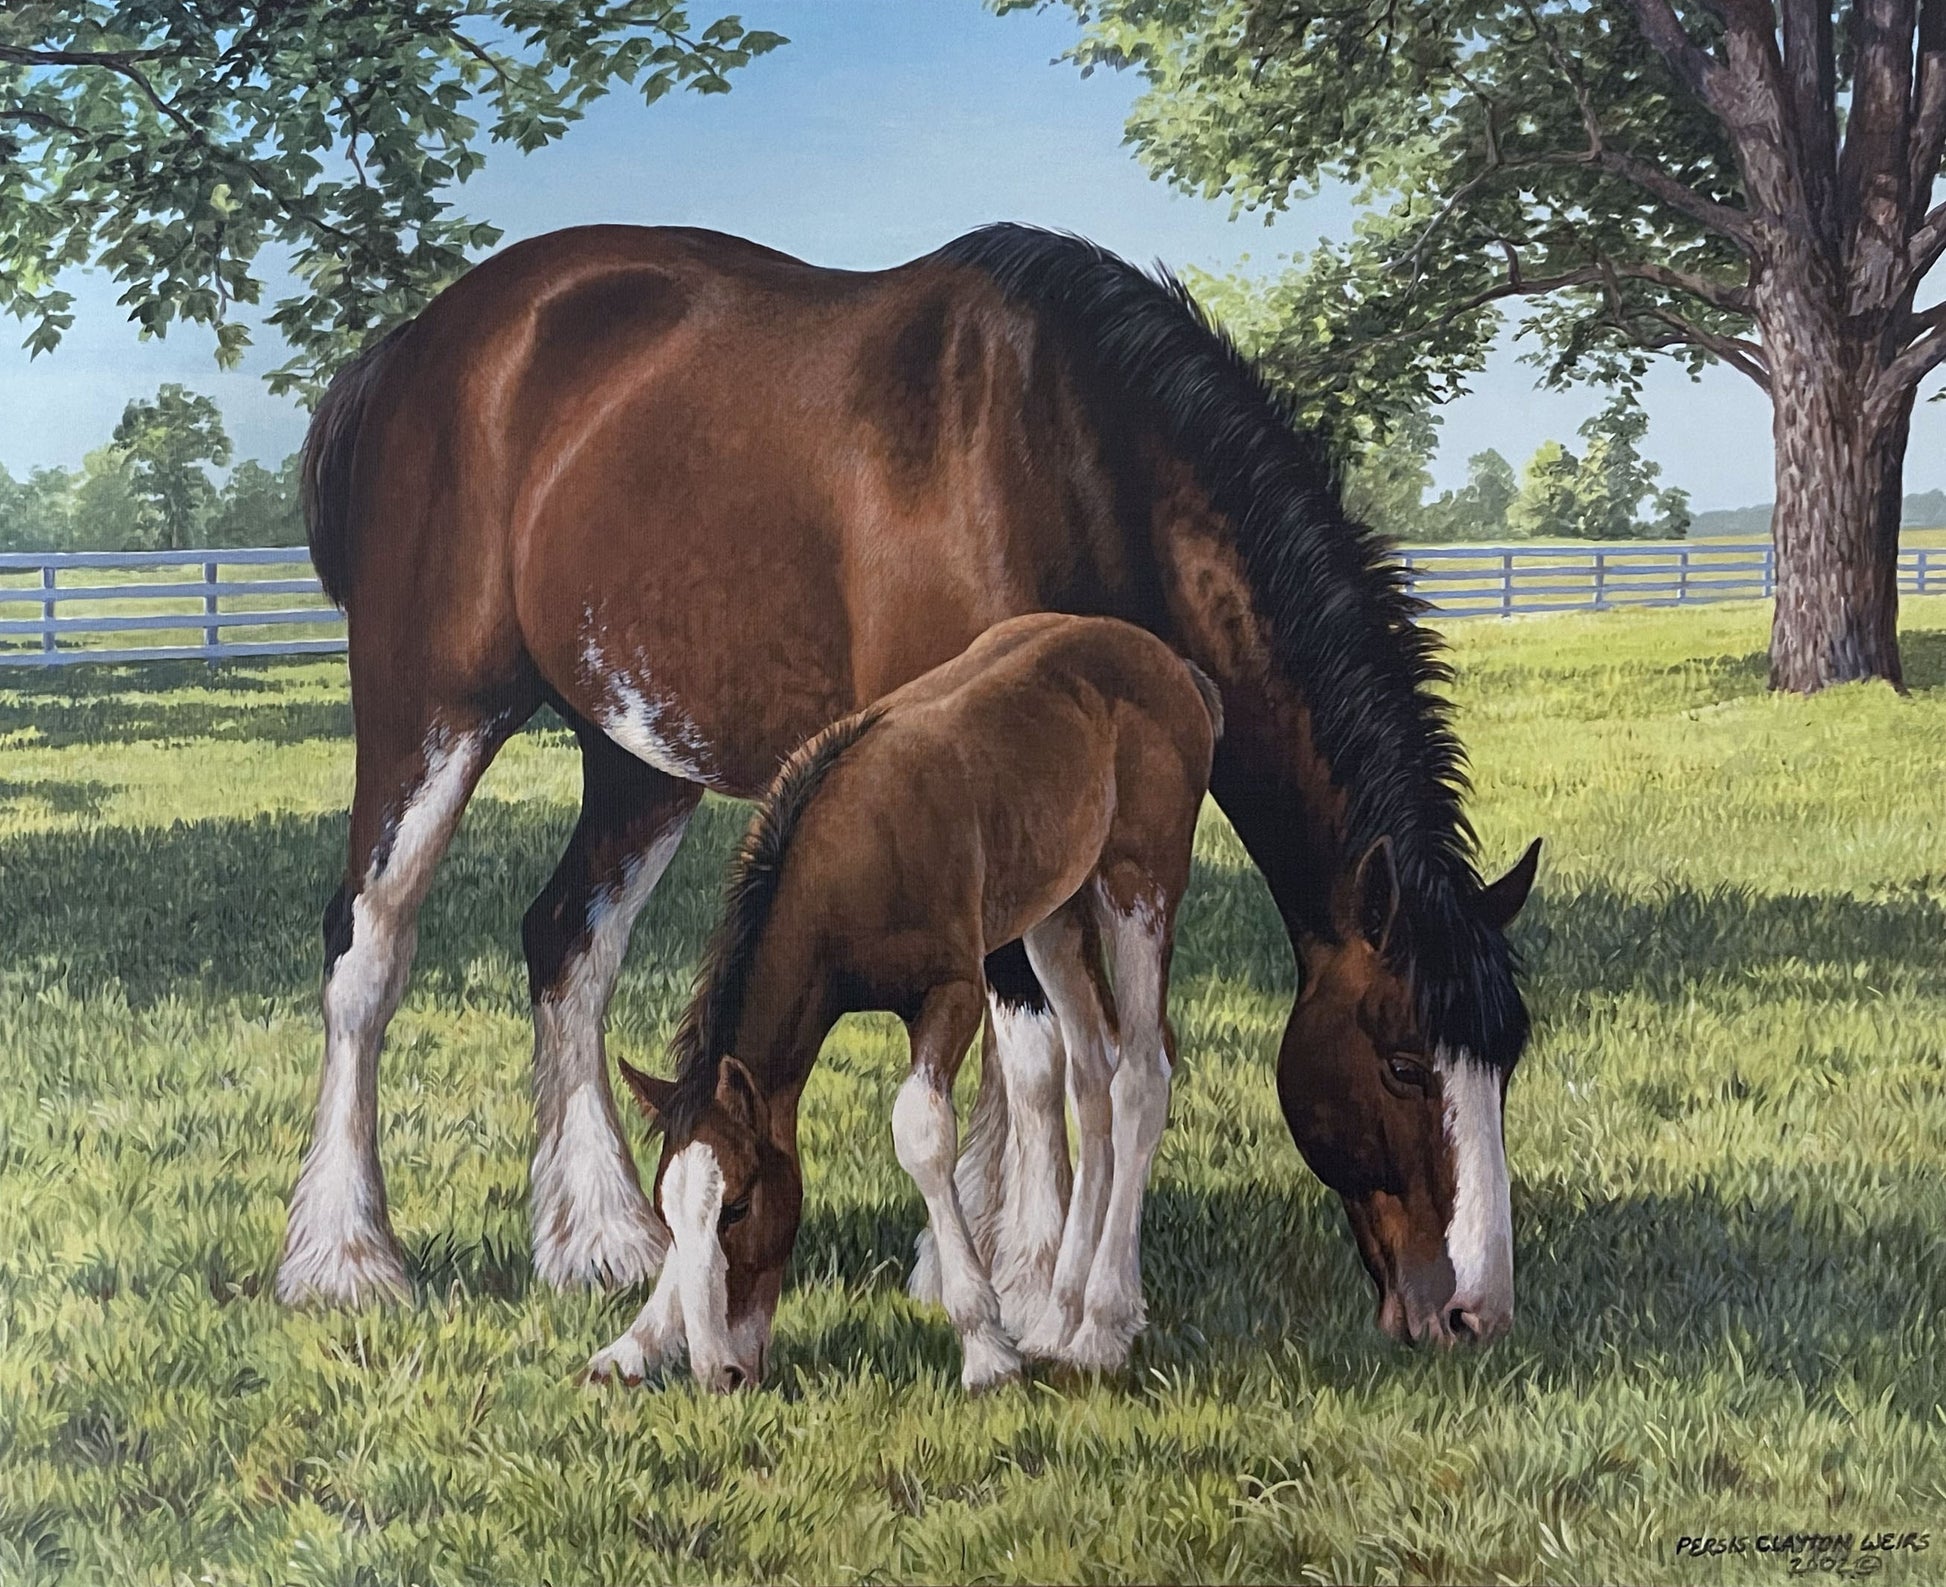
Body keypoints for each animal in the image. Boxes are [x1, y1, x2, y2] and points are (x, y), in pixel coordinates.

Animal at [583, 613, 1221, 1390]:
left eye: (737, 1205)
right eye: (666, 1217)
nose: (722, 1373)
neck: (849, 860)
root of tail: (1173, 665)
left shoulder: (954, 993)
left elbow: (921, 1134)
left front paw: (984, 1344)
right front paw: (636, 1343)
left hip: (1138, 889)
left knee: (1141, 1079)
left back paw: (1100, 1327)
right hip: (1055, 915)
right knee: (1092, 1076)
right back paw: (1058, 1317)